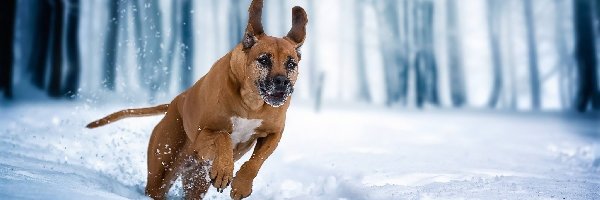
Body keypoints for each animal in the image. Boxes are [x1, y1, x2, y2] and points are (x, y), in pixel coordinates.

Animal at [86, 0, 308, 199]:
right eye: (264, 59)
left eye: (291, 64)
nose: (282, 82)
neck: (251, 102)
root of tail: (175, 102)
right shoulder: (203, 136)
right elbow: (223, 136)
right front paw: (224, 170)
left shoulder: (273, 133)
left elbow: (258, 159)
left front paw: (242, 184)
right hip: (163, 168)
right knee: (157, 186)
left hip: (197, 176)